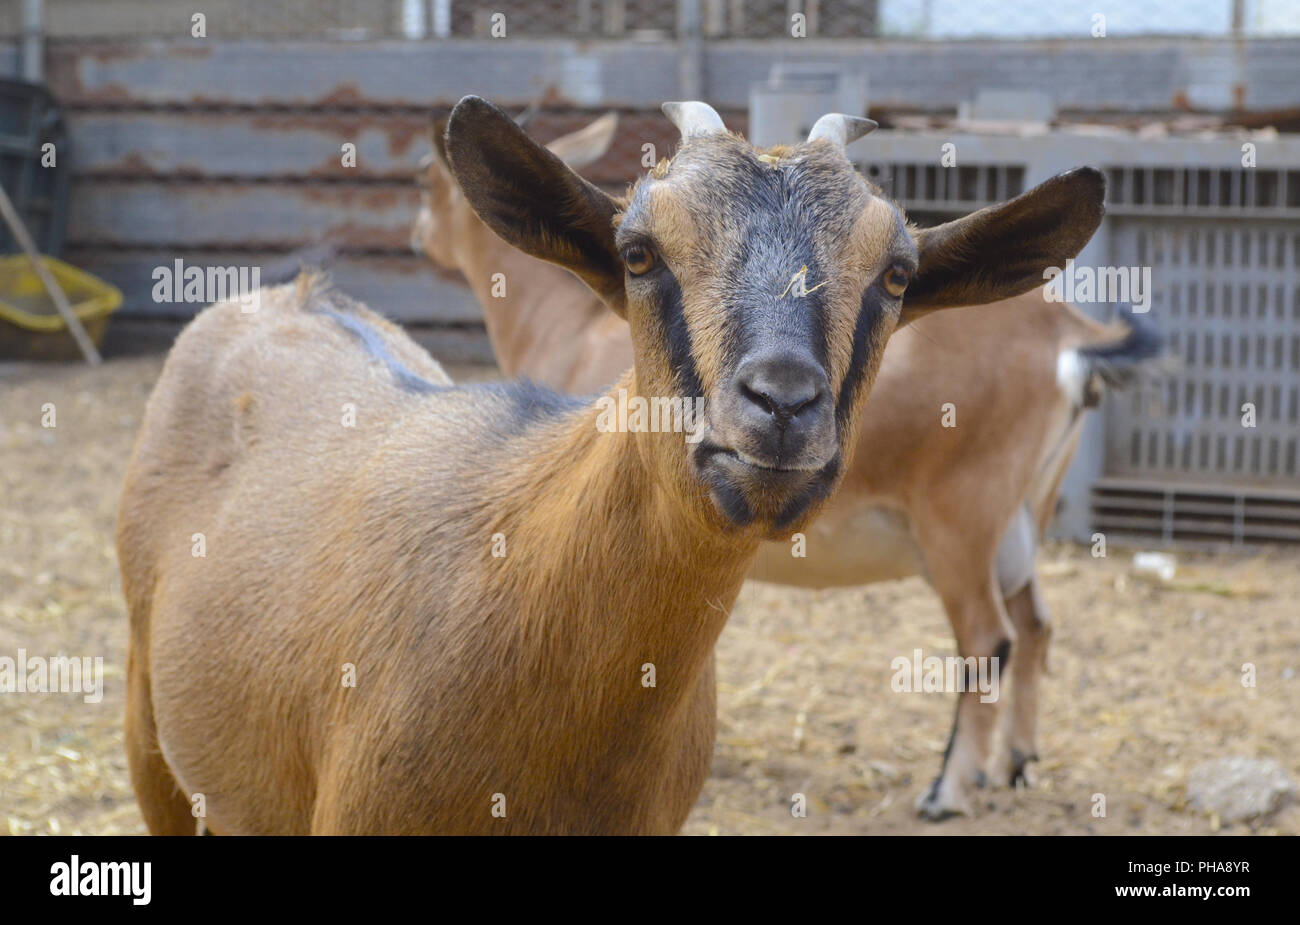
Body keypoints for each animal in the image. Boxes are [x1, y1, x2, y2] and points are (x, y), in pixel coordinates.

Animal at [116, 97, 1102, 836]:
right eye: (638, 252)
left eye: (897, 273)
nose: (782, 403)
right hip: (149, 732)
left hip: (965, 516)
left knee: (995, 635)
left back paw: (952, 787)